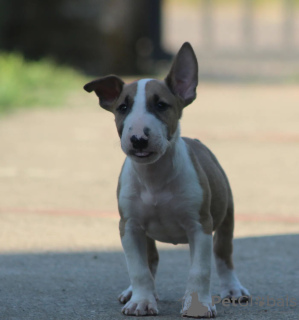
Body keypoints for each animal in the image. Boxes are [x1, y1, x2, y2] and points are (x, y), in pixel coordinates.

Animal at [84, 42, 251, 318]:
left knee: (223, 255)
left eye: (161, 105)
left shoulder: (200, 226)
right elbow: (139, 268)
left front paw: (198, 306)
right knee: (151, 260)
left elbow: (200, 270)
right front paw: (141, 301)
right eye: (122, 108)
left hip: (226, 215)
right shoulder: (129, 226)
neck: (154, 176)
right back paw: (135, 293)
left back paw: (234, 289)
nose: (138, 139)